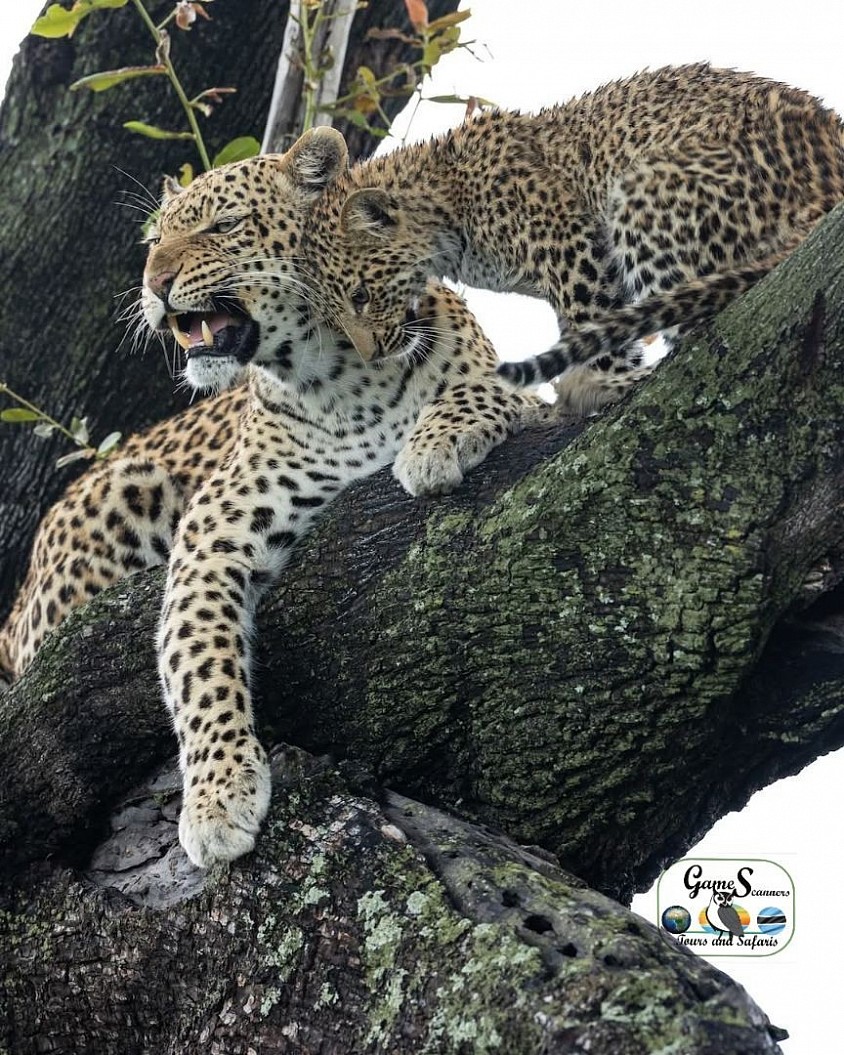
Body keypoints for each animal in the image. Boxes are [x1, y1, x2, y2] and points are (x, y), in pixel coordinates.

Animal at [284, 63, 844, 411]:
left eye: (361, 296)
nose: (372, 355)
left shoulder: (572, 246)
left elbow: (595, 323)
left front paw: (601, 381)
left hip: (641, 187)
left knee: (699, 326)